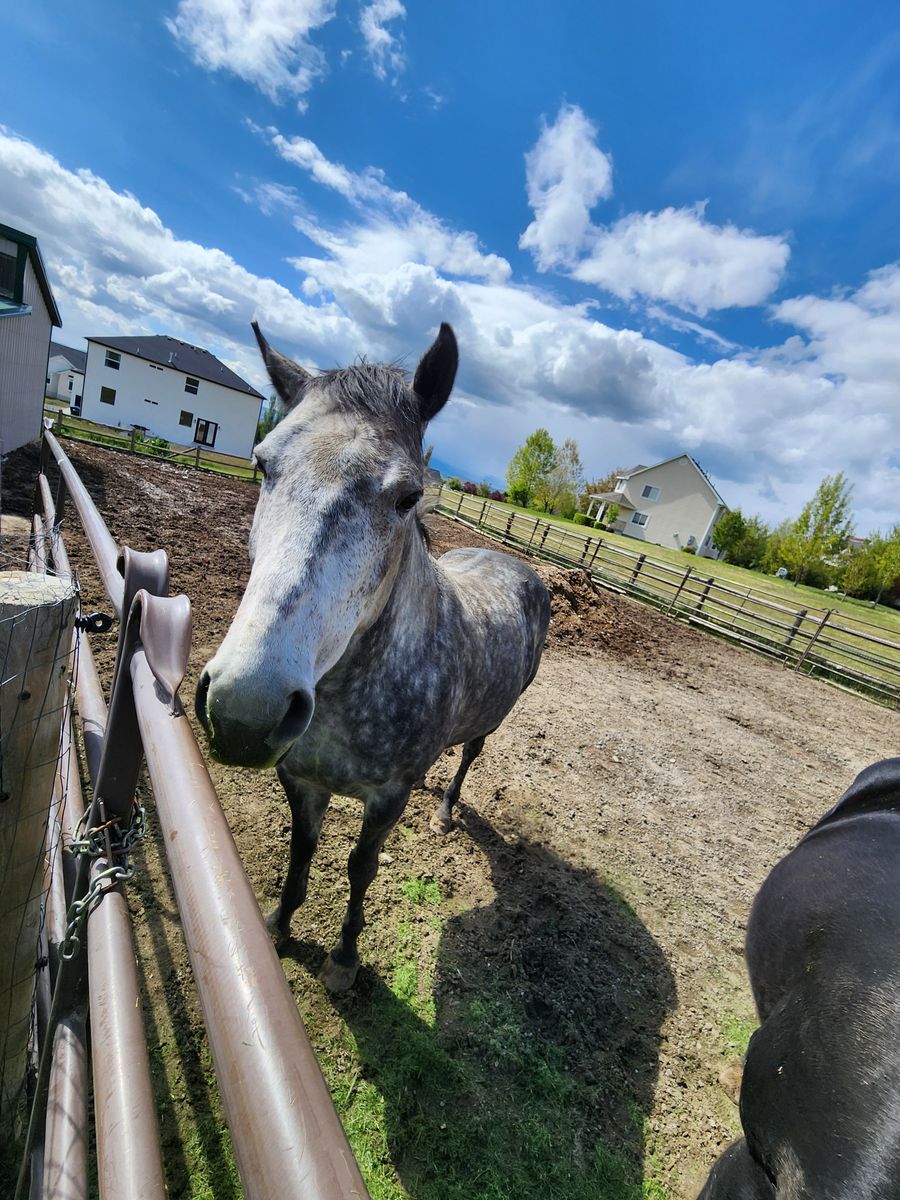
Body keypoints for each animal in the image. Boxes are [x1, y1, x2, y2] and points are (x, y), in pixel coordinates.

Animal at [195, 322, 551, 991]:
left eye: (409, 495)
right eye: (261, 463)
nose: (244, 711)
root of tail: (515, 564)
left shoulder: (386, 798)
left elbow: (361, 867)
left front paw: (343, 959)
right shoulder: (300, 779)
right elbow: (301, 852)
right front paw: (279, 926)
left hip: (491, 722)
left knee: (469, 756)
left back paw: (444, 813)